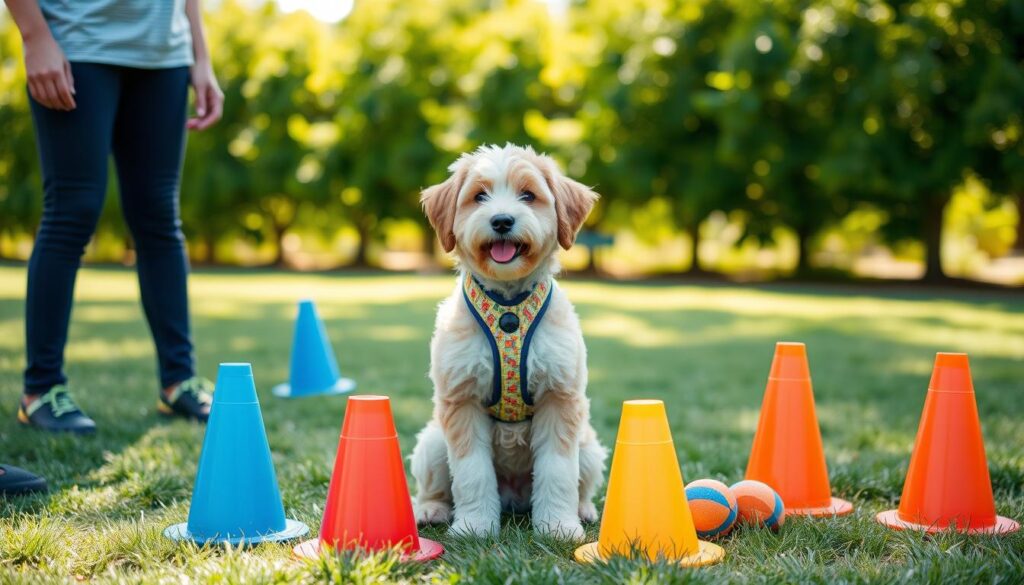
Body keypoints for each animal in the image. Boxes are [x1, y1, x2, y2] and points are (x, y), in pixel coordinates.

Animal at [409, 144, 606, 536]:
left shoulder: (560, 397)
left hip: (589, 448)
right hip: (433, 443)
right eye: (478, 196)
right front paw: (474, 526)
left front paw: (558, 526)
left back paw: (583, 509)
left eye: (528, 195)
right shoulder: (462, 398)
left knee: (580, 483)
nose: (501, 221)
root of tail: (514, 498)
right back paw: (432, 509)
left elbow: (559, 471)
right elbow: (471, 472)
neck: (509, 308)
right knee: (435, 487)